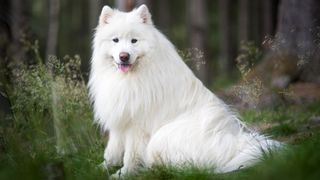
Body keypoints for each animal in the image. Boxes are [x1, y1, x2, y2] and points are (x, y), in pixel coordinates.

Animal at [89, 4, 282, 177]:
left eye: (134, 41)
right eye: (115, 40)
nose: (124, 56)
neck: (128, 78)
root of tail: (234, 144)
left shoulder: (137, 126)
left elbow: (131, 156)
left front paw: (123, 174)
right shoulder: (119, 118)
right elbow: (112, 151)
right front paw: (100, 168)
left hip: (162, 137)